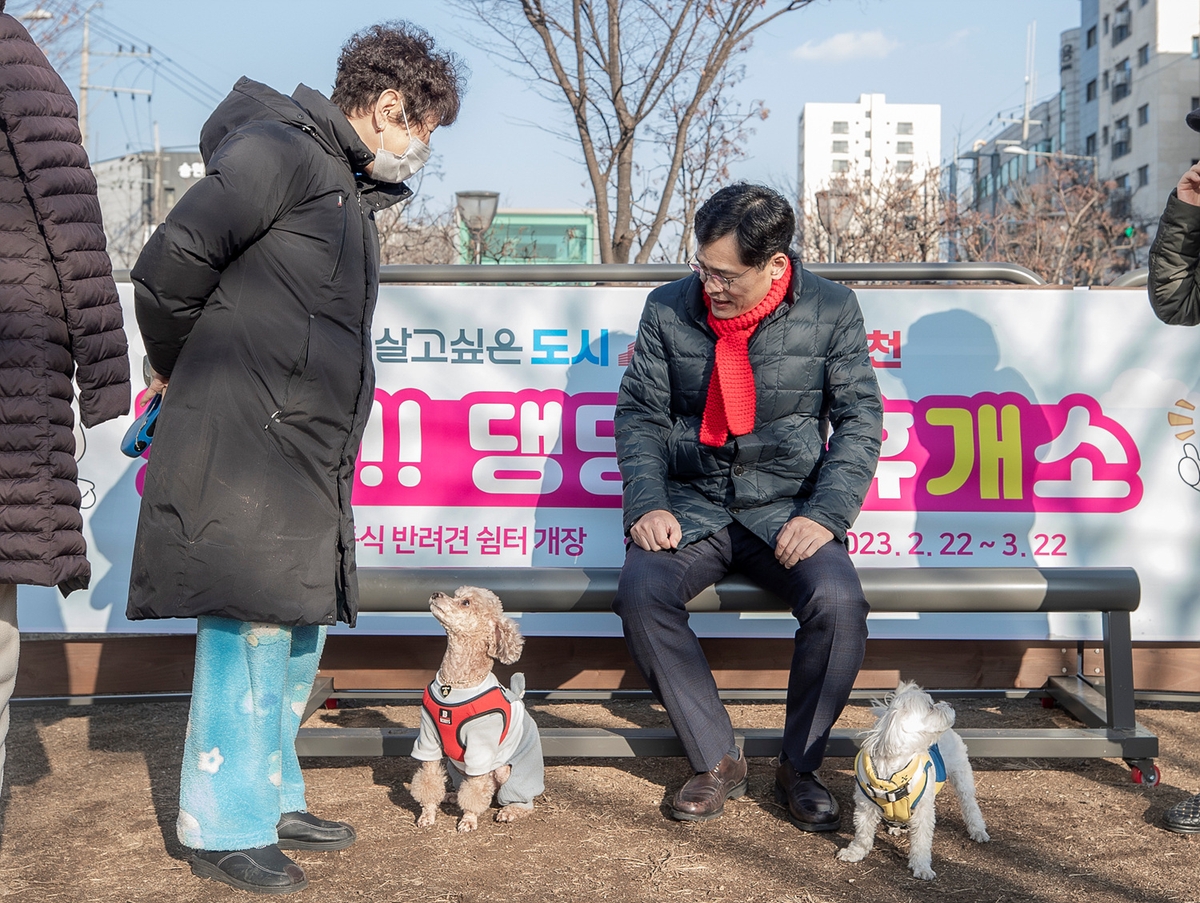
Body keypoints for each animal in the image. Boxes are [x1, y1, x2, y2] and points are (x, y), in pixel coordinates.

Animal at [835, 682, 993, 878]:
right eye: (931, 707)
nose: (949, 704)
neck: (893, 773)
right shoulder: (866, 807)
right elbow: (863, 833)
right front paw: (855, 852)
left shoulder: (923, 811)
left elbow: (921, 841)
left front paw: (922, 866)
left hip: (961, 772)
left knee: (969, 803)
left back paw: (977, 829)